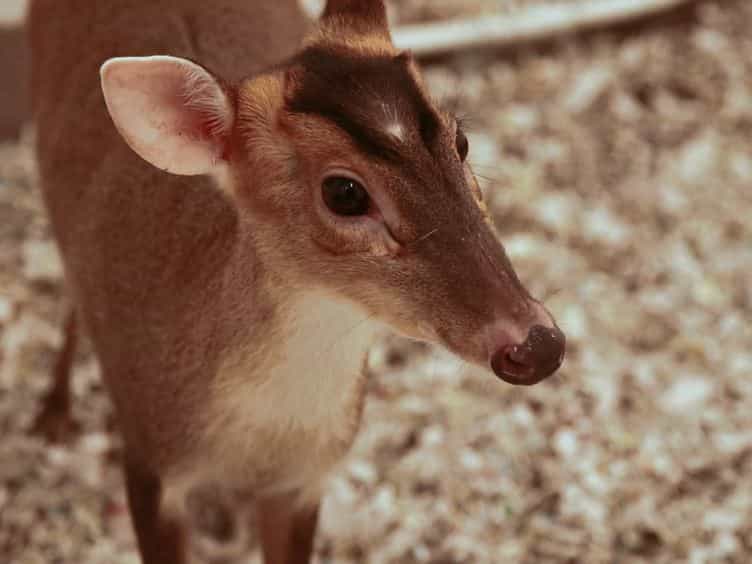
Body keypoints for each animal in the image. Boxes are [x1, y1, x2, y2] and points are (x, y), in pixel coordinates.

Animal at [28, 0, 566, 562]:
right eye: (344, 193)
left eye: (459, 140)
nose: (537, 344)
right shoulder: (150, 459)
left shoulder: (307, 477)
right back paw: (53, 414)